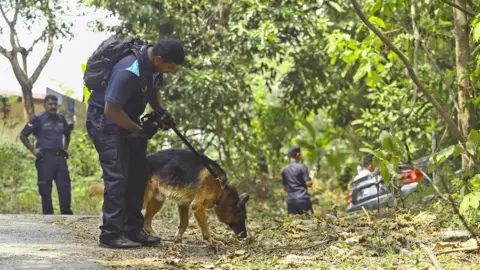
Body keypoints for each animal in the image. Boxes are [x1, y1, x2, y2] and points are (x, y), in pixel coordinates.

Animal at [88, 149, 251, 244]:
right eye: (243, 217)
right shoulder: (197, 206)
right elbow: (205, 227)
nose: (245, 236)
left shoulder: (184, 204)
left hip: (157, 201)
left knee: (146, 222)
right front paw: (211, 240)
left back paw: (154, 237)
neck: (221, 187)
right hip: (143, 199)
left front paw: (178, 238)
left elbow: (184, 223)